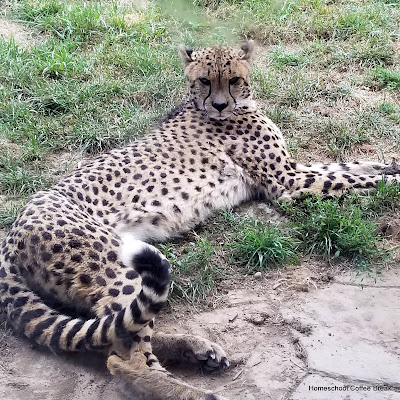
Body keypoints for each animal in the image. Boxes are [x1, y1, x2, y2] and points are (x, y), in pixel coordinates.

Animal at [0, 40, 400, 400]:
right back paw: (194, 391)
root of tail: (12, 231)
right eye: (205, 81)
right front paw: (391, 180)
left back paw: (199, 350)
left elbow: (349, 166)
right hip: (119, 264)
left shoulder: (294, 172)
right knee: (123, 355)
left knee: (112, 328)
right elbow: (353, 179)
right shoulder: (285, 182)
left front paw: (388, 165)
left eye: (233, 79)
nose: (220, 104)